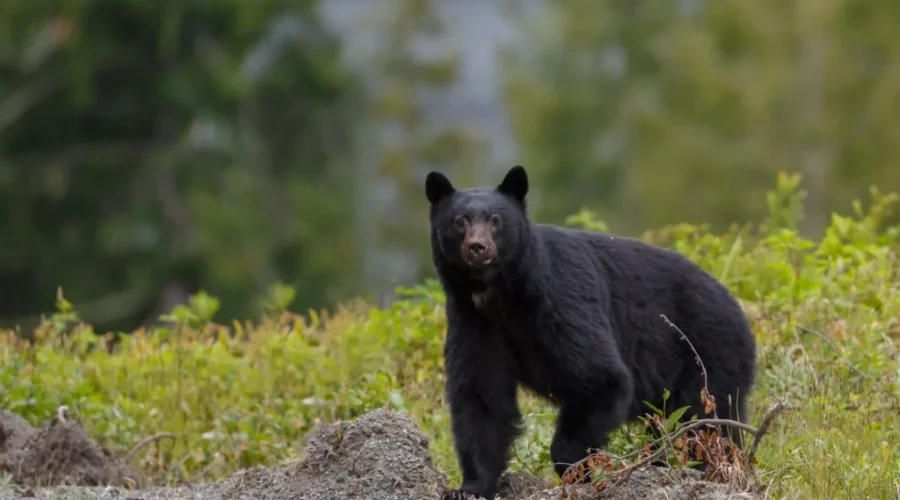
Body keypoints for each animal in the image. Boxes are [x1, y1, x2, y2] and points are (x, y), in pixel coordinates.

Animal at [425, 165, 757, 500]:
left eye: (495, 219)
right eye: (460, 220)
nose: (478, 247)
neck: (502, 295)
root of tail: (739, 307)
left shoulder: (562, 302)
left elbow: (601, 378)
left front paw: (575, 472)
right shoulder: (474, 322)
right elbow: (481, 398)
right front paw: (468, 487)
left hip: (708, 354)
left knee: (707, 421)